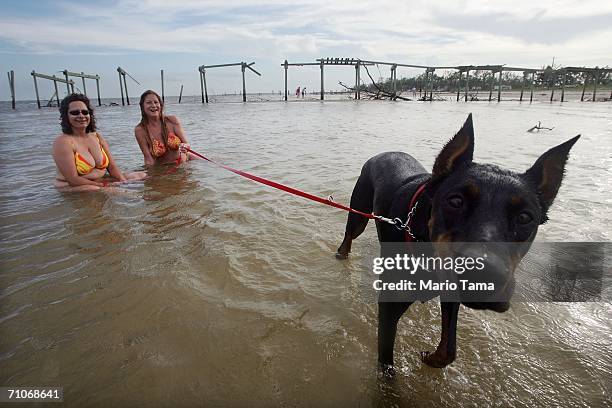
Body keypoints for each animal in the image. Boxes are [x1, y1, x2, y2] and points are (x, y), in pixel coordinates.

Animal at [334, 114, 580, 370]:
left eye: (525, 217)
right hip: (360, 210)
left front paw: (432, 358)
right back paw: (342, 252)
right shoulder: (390, 307)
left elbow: (449, 349)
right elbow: (386, 365)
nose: (484, 274)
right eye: (455, 201)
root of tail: (384, 152)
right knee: (351, 232)